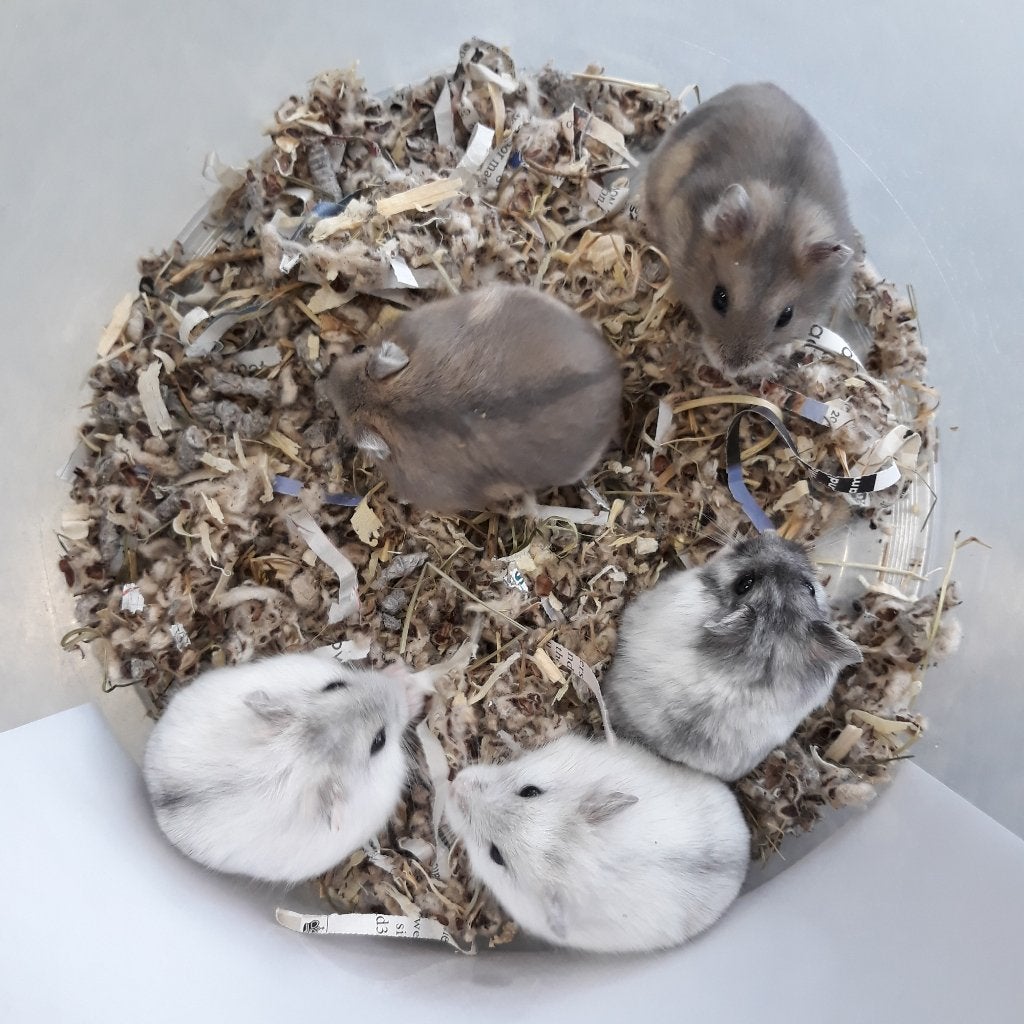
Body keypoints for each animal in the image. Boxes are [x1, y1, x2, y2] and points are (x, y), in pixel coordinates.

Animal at [142, 653, 431, 884]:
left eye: (334, 684)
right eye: (378, 741)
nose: (399, 683)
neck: (301, 757)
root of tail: (152, 797)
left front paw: (402, 674)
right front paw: (412, 691)